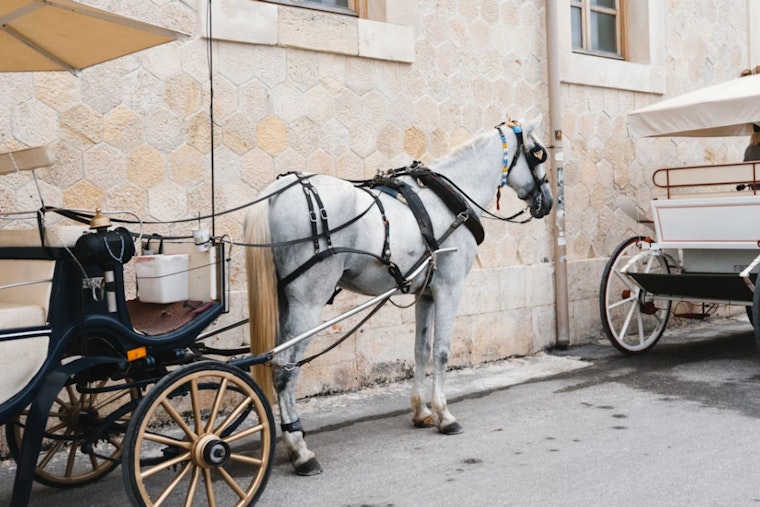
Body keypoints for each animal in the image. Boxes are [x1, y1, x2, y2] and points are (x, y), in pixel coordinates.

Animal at [243, 115, 553, 476]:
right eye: (538, 152)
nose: (548, 200)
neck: (449, 202)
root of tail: (274, 194)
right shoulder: (449, 289)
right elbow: (442, 352)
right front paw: (444, 415)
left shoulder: (426, 294)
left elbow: (421, 350)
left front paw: (422, 411)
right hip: (307, 304)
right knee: (284, 369)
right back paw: (300, 450)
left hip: (283, 300)